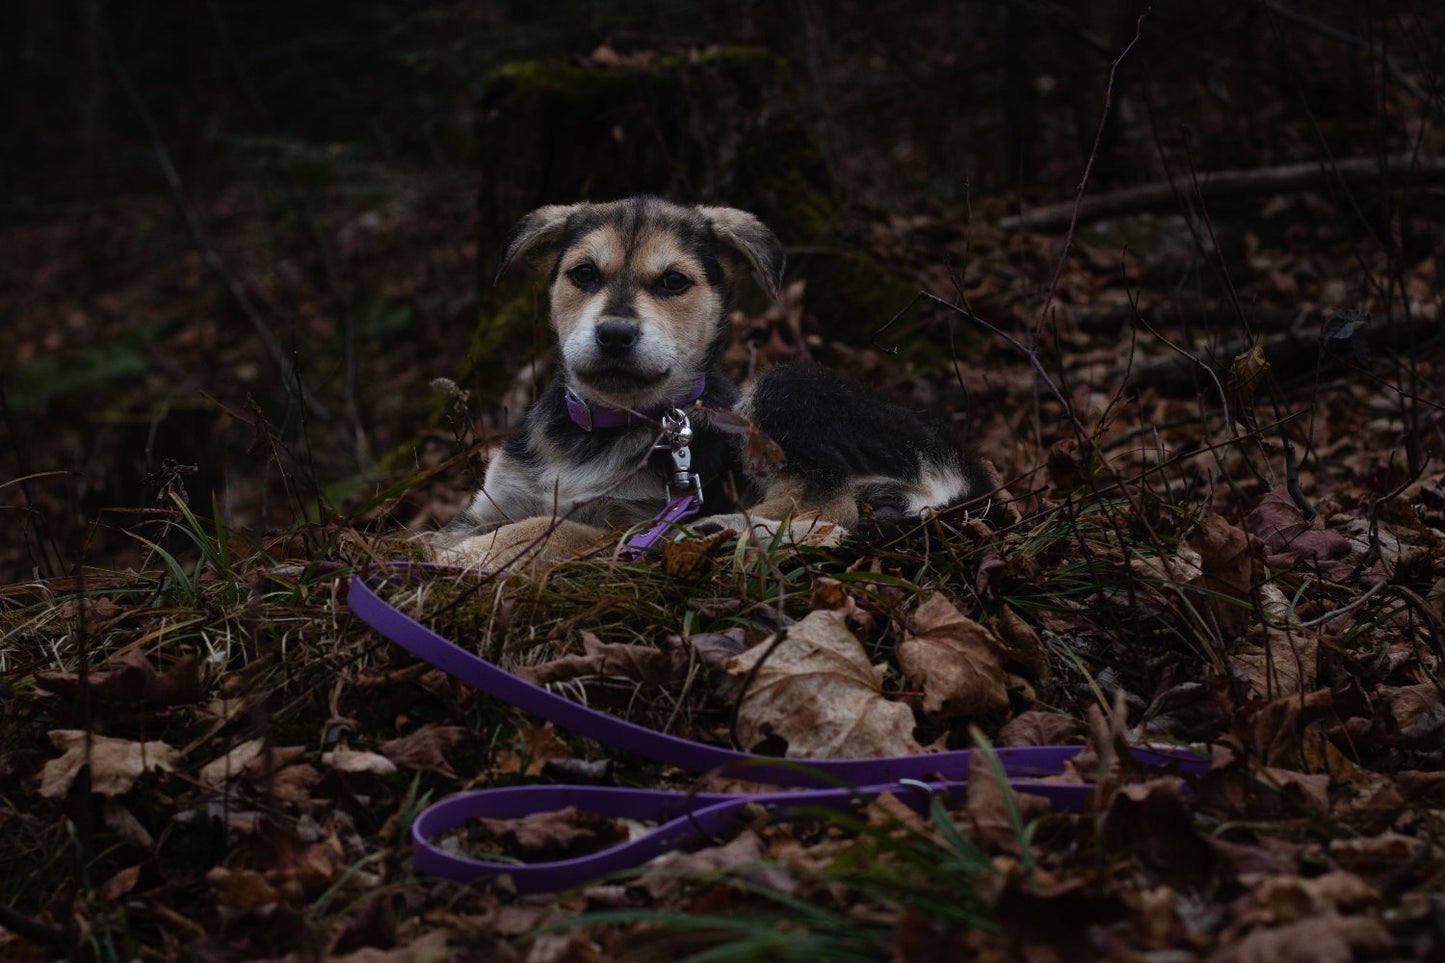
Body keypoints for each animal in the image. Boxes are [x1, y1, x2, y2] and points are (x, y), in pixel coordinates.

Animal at [424, 198, 994, 566]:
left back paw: (717, 529)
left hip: (785, 386)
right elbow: (455, 529)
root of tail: (967, 465)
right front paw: (433, 548)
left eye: (674, 281)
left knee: (828, 506)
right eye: (583, 274)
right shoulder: (493, 502)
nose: (614, 334)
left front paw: (474, 555)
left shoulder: (635, 516)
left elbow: (553, 526)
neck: (604, 426)